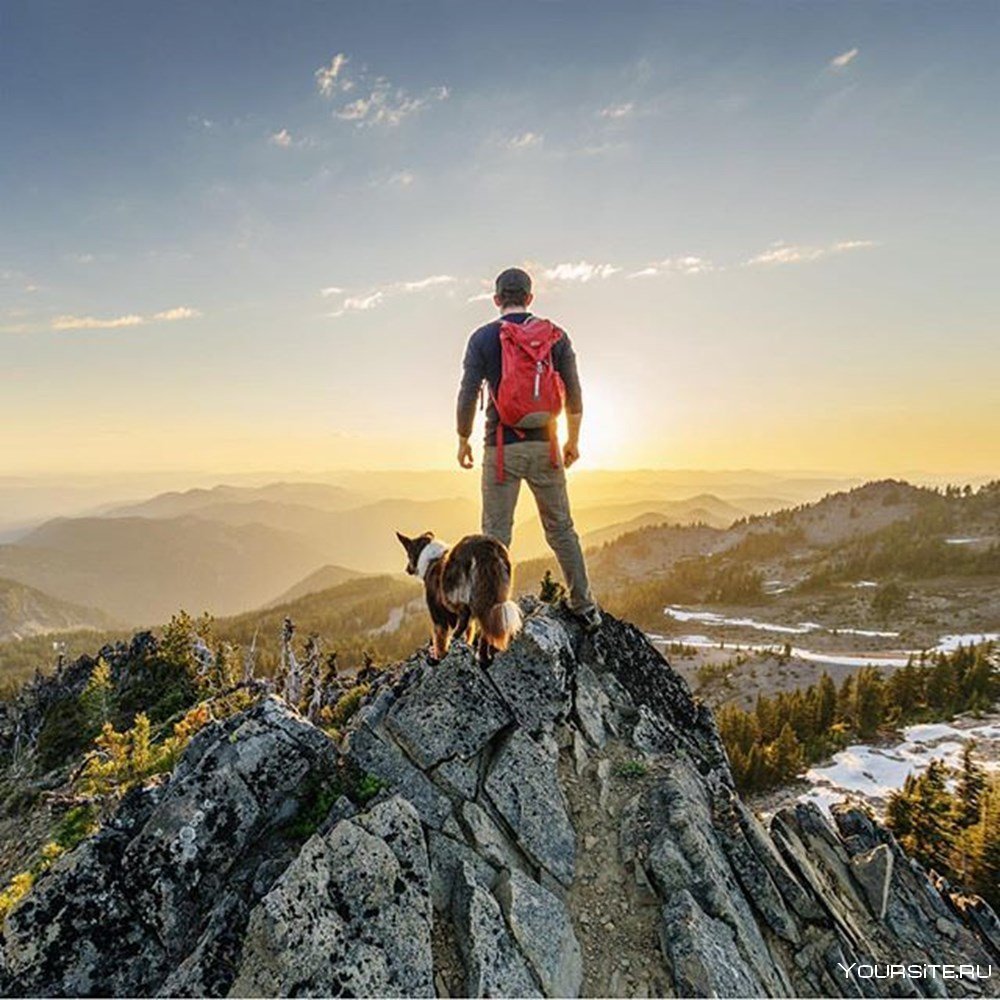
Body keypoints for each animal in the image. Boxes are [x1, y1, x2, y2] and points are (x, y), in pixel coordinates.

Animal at [396, 532, 524, 664]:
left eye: (408, 555)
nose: (406, 569)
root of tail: (486, 548)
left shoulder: (437, 614)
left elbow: (440, 638)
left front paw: (439, 656)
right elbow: (469, 632)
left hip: (450, 593)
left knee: (464, 612)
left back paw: (456, 636)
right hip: (493, 597)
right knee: (485, 627)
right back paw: (482, 657)